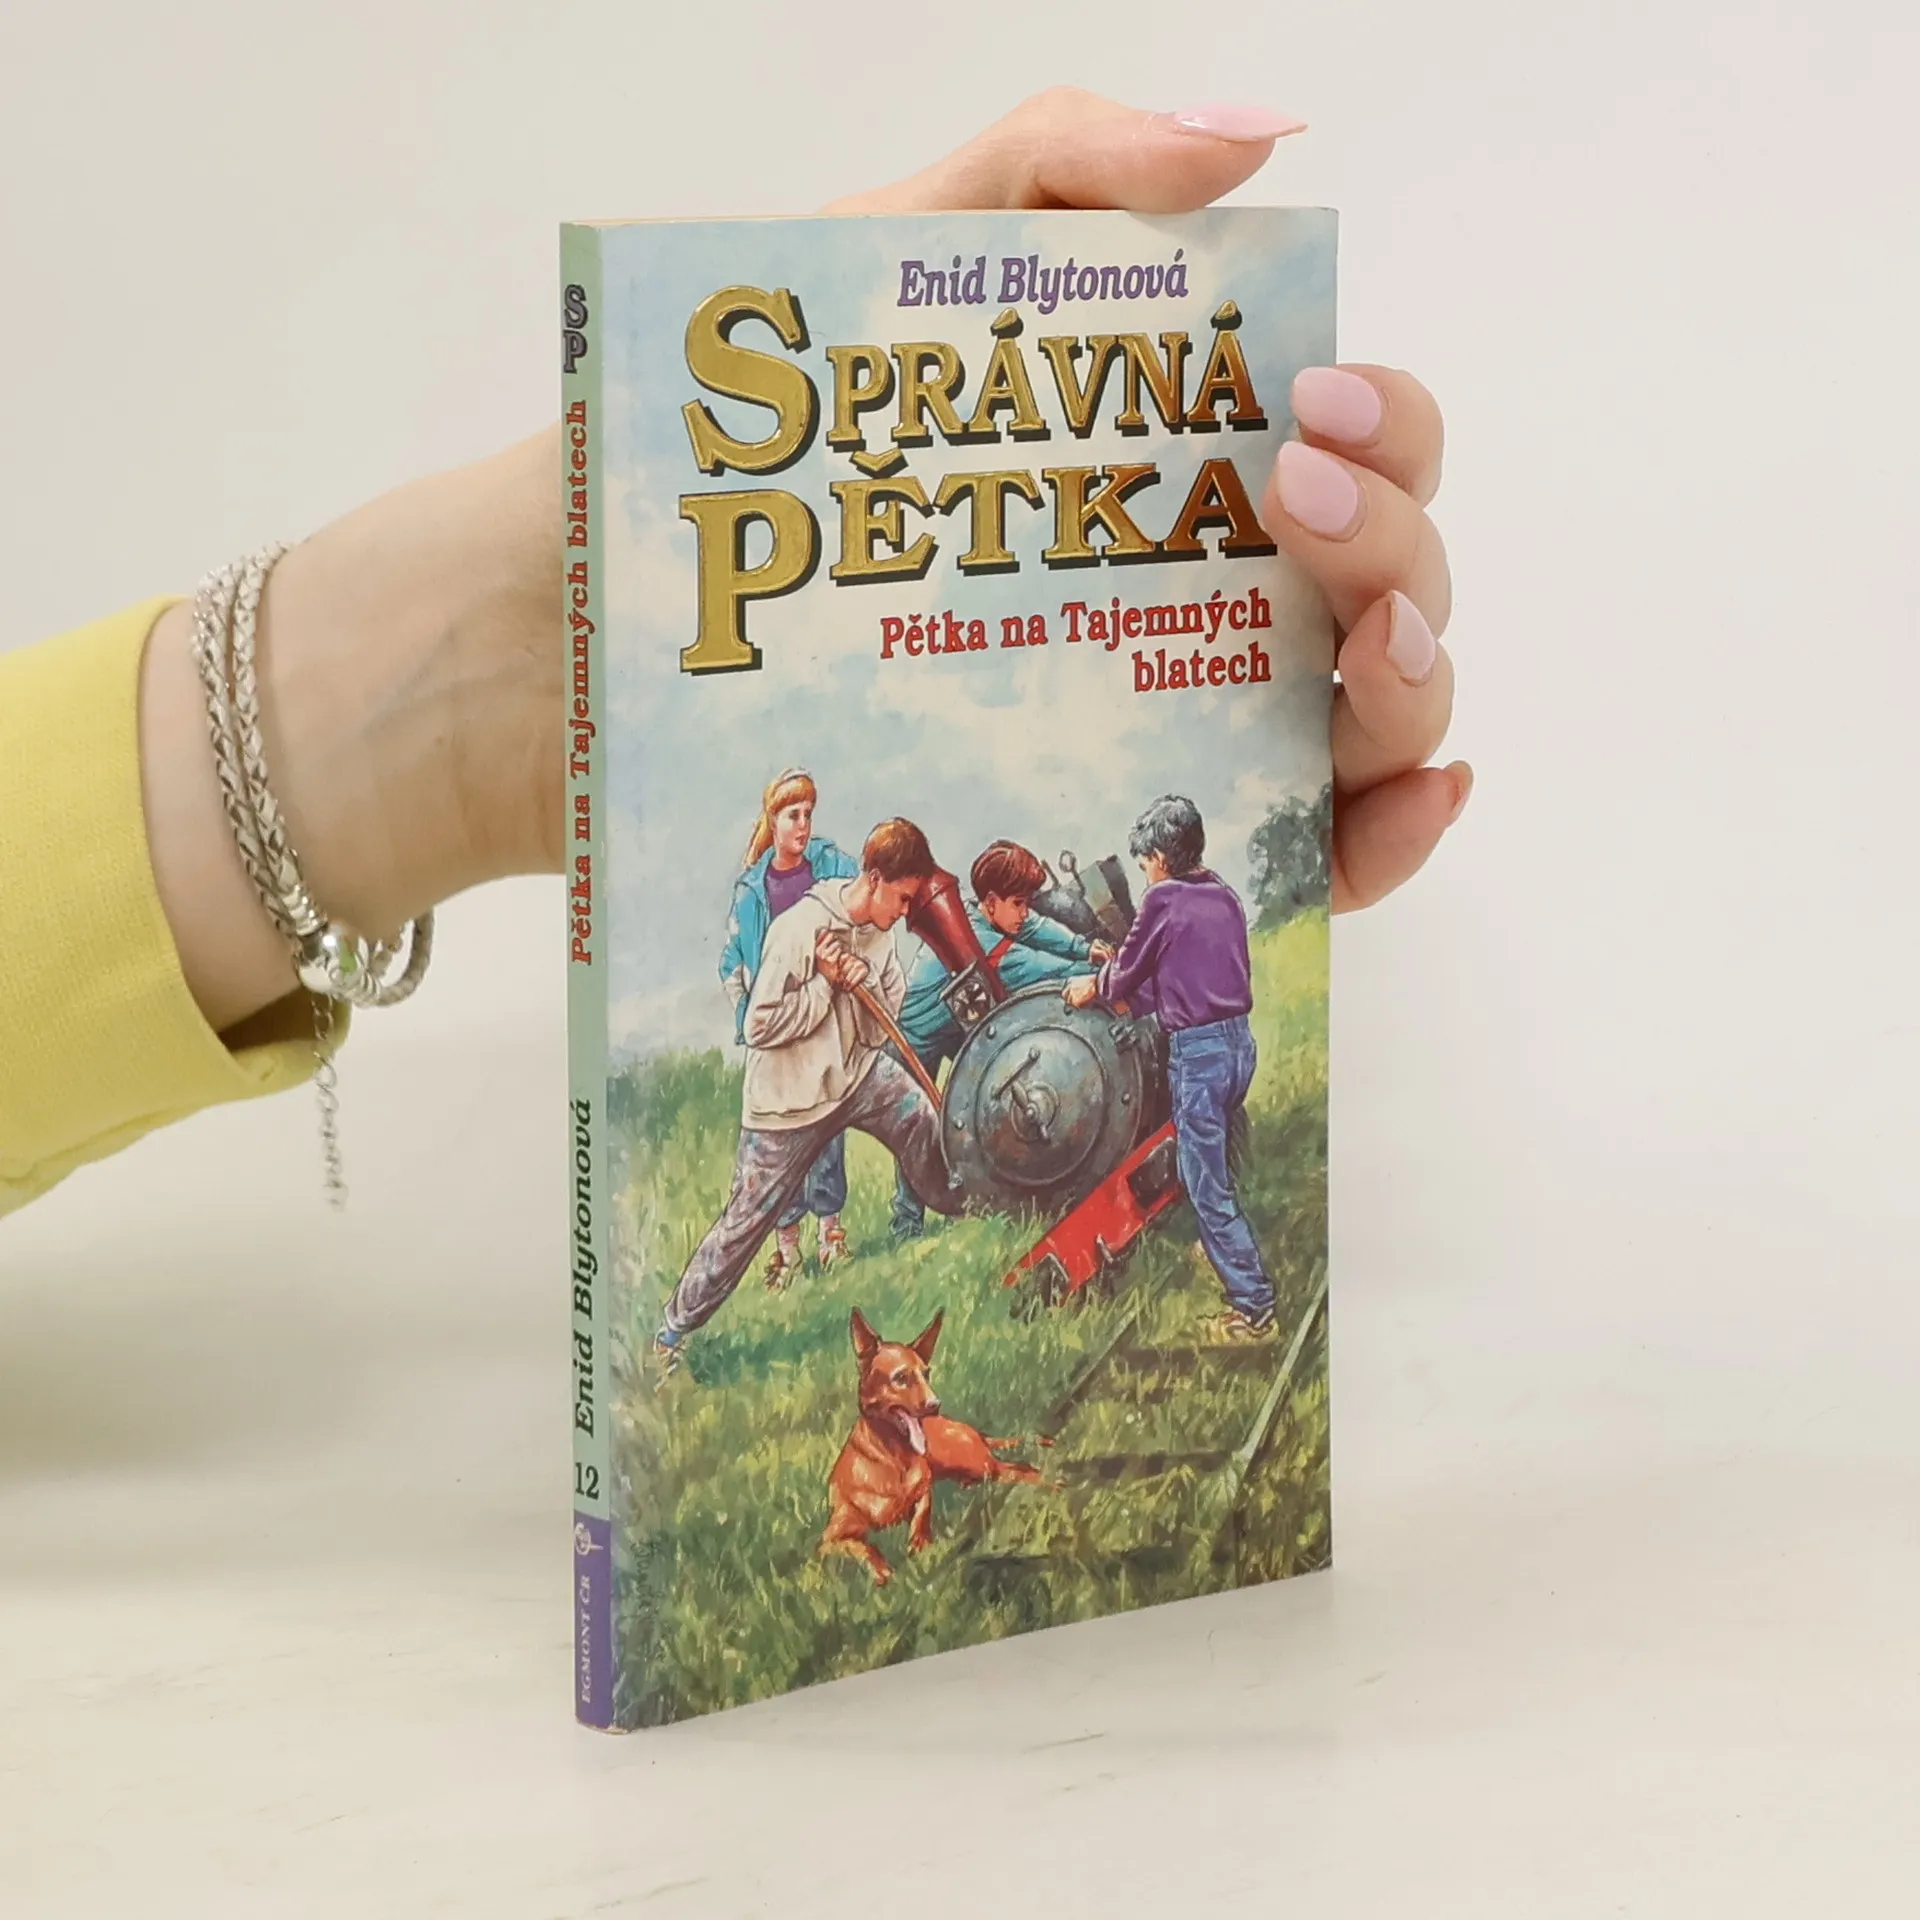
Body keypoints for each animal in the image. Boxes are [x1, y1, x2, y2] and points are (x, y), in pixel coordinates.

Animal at [819, 1308, 1045, 1586]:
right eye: (901, 1378)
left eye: (926, 1374)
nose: (935, 1404)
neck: (894, 1458)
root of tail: (976, 1432)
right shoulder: (828, 1540)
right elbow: (860, 1546)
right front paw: (881, 1569)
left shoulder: (924, 1490)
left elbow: (922, 1513)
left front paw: (920, 1543)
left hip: (978, 1463)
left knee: (1023, 1470)